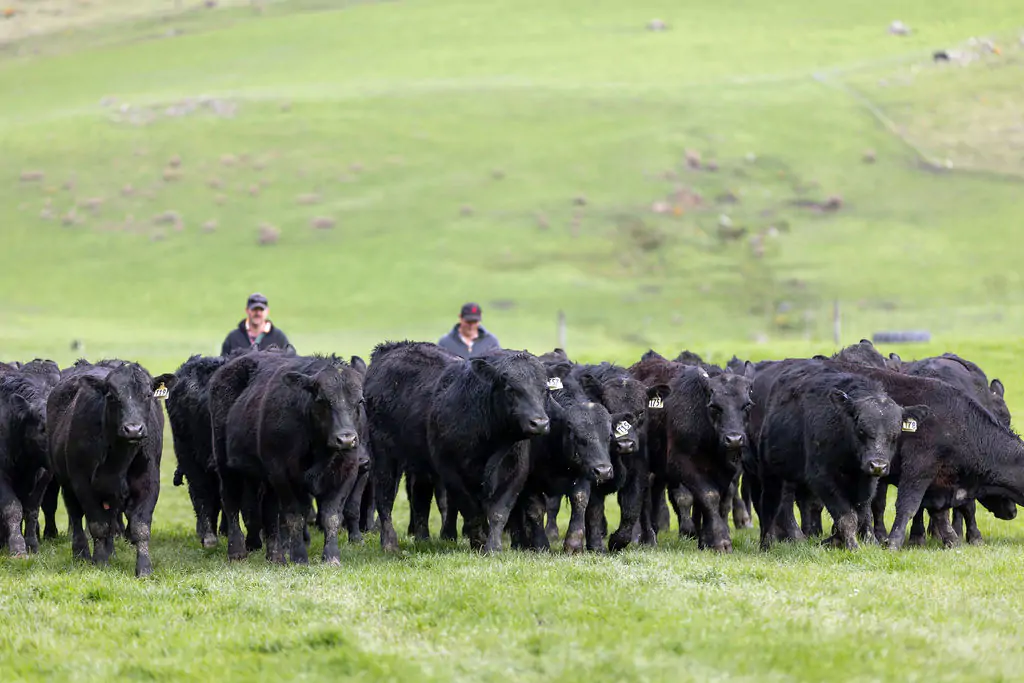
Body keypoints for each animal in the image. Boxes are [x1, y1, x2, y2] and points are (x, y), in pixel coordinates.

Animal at [46, 360, 175, 576]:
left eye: (148, 394)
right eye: (112, 396)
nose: (133, 429)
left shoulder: (148, 482)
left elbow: (140, 527)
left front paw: (144, 569)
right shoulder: (82, 484)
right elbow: (98, 525)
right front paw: (99, 562)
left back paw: (111, 552)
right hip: (67, 483)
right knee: (76, 517)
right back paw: (81, 554)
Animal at [428, 349, 551, 553]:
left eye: (545, 390)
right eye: (510, 389)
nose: (539, 423)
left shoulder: (516, 474)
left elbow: (499, 512)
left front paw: (493, 547)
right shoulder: (449, 470)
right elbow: (470, 510)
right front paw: (478, 542)